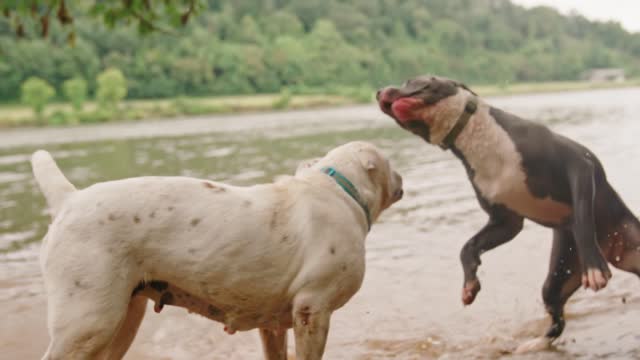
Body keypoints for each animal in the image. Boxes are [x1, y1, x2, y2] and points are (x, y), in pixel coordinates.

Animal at [32, 141, 402, 360]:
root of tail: (70, 199)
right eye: (390, 162)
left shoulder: (274, 325)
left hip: (123, 318)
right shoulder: (313, 310)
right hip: (88, 321)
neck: (340, 190)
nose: (401, 178)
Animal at [378, 76, 636, 352]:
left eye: (412, 81)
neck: (473, 136)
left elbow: (582, 218)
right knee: (557, 318)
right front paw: (469, 285)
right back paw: (532, 344)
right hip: (558, 279)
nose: (379, 91)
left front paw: (594, 268)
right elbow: (467, 247)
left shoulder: (578, 165)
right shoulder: (506, 221)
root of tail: (611, 247)